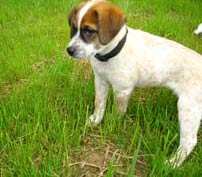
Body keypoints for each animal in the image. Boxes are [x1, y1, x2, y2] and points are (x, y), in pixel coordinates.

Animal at [66, 0, 202, 167]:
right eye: (73, 28)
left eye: (89, 31)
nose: (69, 50)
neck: (110, 55)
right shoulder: (100, 81)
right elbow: (99, 104)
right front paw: (95, 120)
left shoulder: (122, 90)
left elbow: (117, 113)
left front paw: (111, 126)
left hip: (188, 108)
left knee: (189, 141)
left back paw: (172, 164)